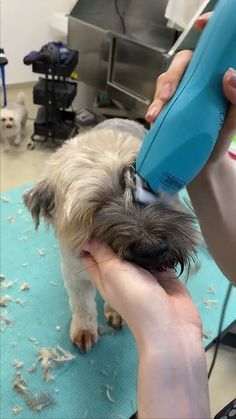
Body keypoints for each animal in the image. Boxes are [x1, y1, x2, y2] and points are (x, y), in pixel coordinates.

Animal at [23, 120, 197, 352]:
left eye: (150, 190)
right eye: (97, 208)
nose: (154, 249)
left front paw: (115, 312)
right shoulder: (74, 274)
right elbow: (82, 304)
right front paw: (84, 329)